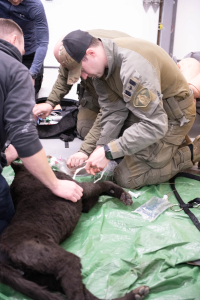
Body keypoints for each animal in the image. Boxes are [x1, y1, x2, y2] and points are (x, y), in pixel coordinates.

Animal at [0, 163, 148, 300]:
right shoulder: (80, 188)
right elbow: (102, 184)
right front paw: (123, 194)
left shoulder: (85, 204)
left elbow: (99, 190)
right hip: (64, 261)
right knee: (77, 294)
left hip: (42, 278)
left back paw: (136, 294)